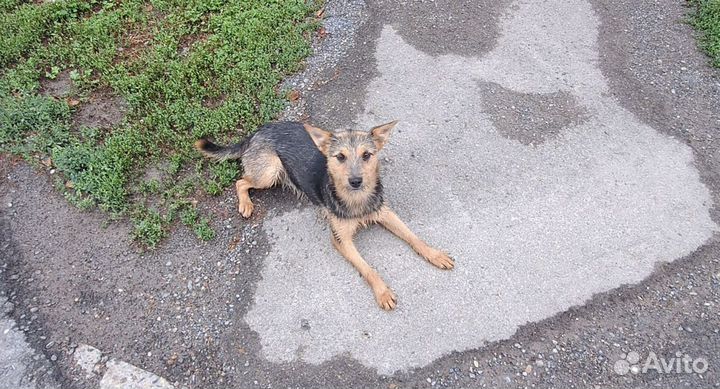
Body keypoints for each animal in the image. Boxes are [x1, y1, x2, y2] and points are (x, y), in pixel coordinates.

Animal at [195, 121, 456, 310]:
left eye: (367, 155)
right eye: (340, 157)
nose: (355, 181)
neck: (357, 199)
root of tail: (257, 131)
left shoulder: (384, 212)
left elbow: (414, 237)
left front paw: (434, 254)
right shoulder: (341, 240)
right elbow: (368, 268)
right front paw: (382, 292)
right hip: (269, 172)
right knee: (241, 182)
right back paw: (246, 205)